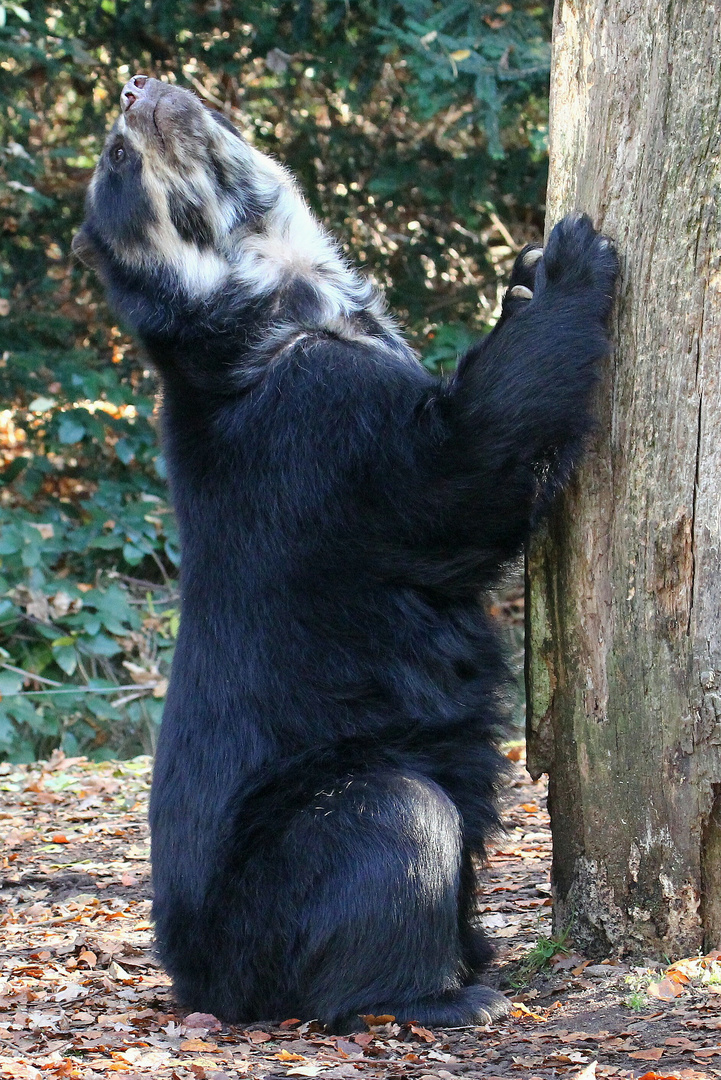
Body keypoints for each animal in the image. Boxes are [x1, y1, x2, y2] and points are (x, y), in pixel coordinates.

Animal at [73, 76, 621, 1028]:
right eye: (117, 155)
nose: (140, 85)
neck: (278, 303)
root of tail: (201, 986)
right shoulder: (321, 426)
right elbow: (458, 473)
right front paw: (565, 264)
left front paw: (520, 276)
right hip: (301, 865)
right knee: (398, 824)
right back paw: (440, 996)